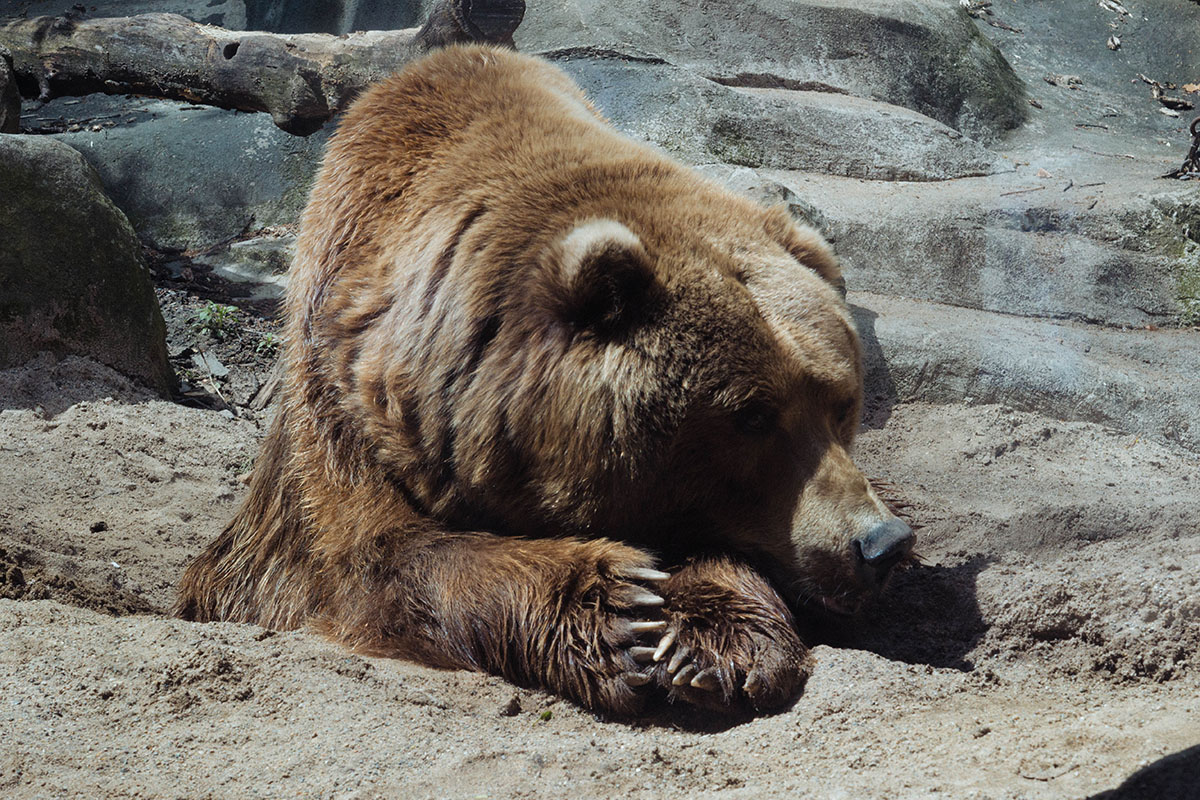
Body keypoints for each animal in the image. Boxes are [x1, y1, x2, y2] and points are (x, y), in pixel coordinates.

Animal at [175, 42, 907, 719]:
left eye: (840, 403)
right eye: (752, 415)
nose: (881, 543)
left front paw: (711, 641)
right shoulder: (344, 404)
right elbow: (370, 557)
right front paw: (621, 609)